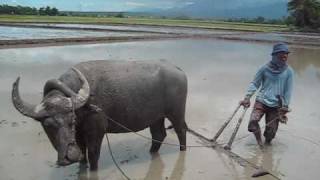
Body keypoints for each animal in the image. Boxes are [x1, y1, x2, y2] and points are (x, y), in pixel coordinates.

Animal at [11, 60, 188, 170]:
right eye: (47, 125)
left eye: (72, 120)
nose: (70, 156)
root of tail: (178, 70)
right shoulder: (79, 135)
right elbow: (83, 156)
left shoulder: (96, 132)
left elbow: (93, 155)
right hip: (156, 117)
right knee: (159, 134)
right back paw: (152, 153)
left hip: (176, 113)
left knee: (181, 131)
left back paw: (182, 150)